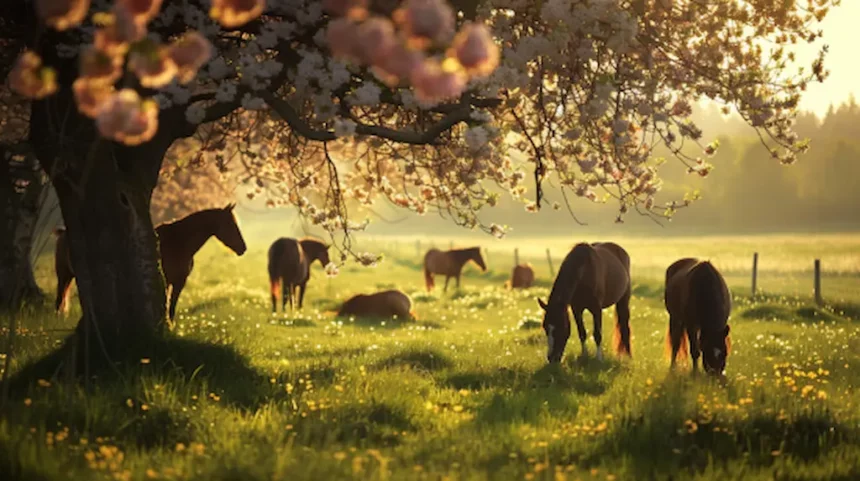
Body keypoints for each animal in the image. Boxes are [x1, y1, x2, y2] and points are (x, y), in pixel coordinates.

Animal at [55, 202, 247, 318]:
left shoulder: (179, 281)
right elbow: (167, 307)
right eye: (231, 224)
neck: (179, 242)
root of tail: (64, 232)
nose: (243, 248)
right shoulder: (170, 280)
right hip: (64, 275)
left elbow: (171, 307)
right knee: (59, 300)